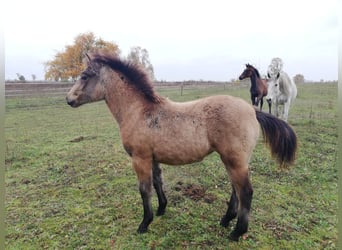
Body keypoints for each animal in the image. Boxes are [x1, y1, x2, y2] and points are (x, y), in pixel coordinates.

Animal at [66, 52, 296, 242]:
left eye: (85, 76)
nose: (68, 99)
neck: (139, 111)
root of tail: (252, 111)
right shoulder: (152, 157)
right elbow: (158, 182)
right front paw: (161, 209)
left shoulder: (139, 158)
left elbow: (144, 190)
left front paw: (144, 223)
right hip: (235, 160)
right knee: (236, 190)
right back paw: (225, 220)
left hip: (234, 160)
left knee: (245, 192)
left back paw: (236, 232)